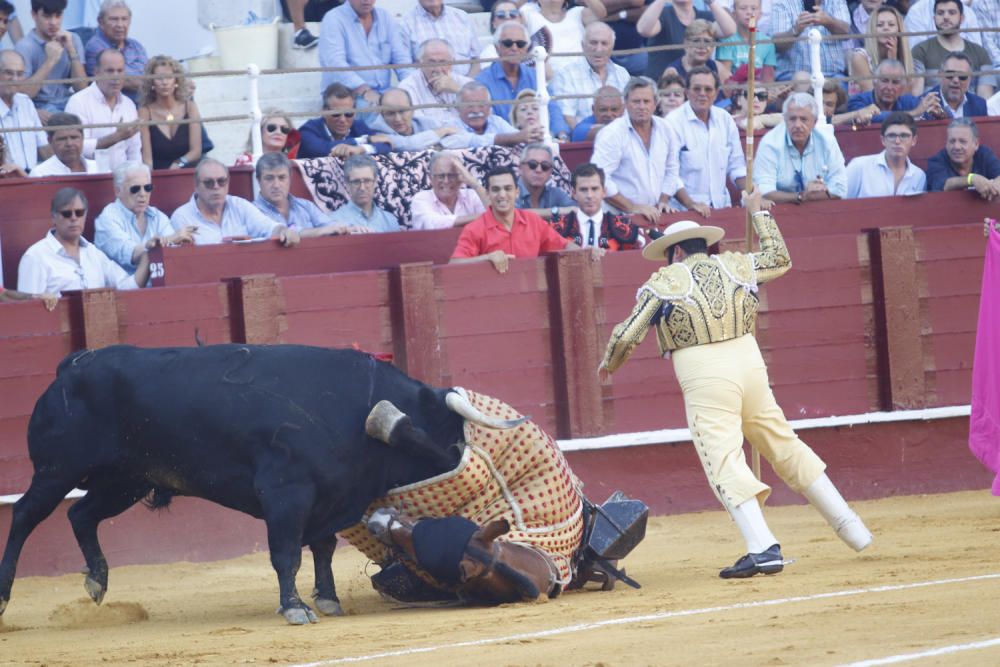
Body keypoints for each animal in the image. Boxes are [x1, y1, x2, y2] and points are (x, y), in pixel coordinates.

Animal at [0, 348, 648, 624]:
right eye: (438, 437)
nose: (456, 459)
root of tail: (70, 366)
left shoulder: (331, 501)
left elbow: (322, 550)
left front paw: (329, 599)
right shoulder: (285, 493)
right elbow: (286, 553)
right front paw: (295, 608)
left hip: (127, 478)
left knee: (81, 517)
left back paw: (97, 583)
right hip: (58, 470)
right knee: (27, 516)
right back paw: (6, 594)